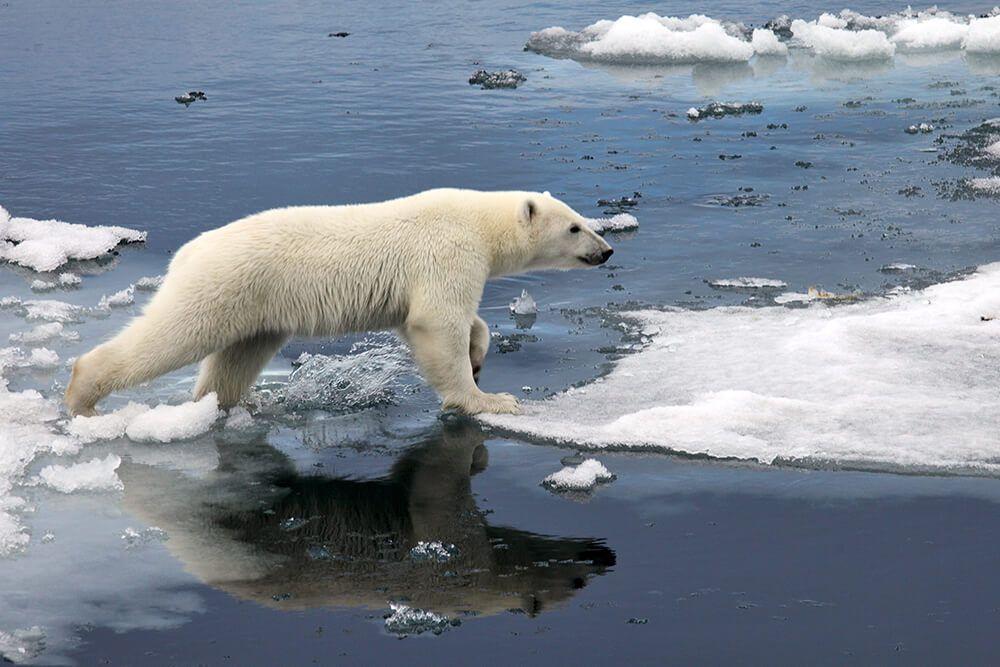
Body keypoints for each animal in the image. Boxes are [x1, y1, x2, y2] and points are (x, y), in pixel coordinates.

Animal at [66, 189, 612, 418]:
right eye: (575, 227)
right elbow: (437, 322)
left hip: (257, 307)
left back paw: (225, 404)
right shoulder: (446, 251)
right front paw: (488, 398)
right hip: (222, 286)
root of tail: (188, 252)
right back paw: (82, 397)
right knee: (173, 335)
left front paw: (479, 356)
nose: (606, 250)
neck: (478, 222)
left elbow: (439, 322)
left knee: (236, 358)